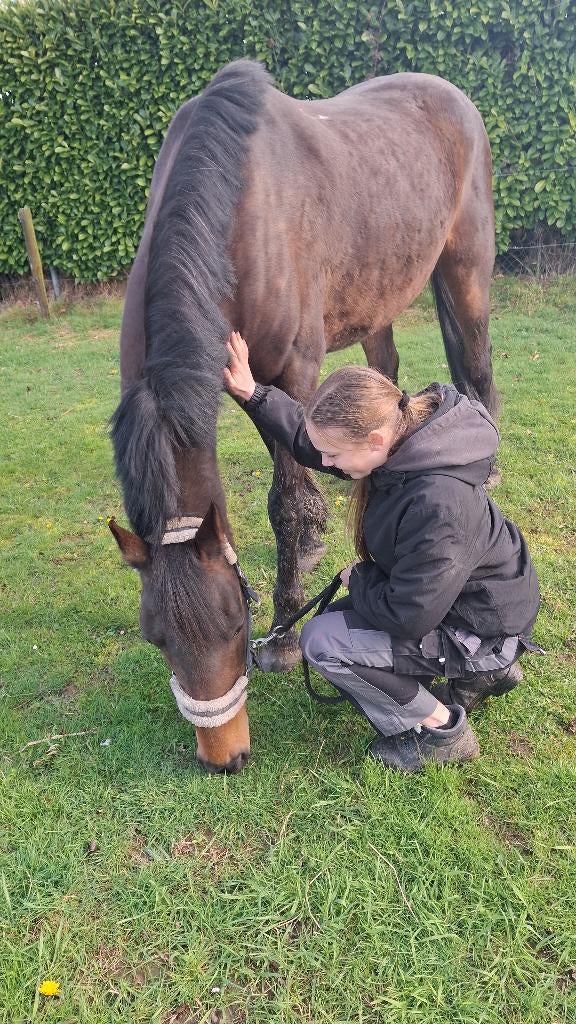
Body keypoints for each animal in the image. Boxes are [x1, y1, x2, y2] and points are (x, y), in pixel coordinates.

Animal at [110, 59, 497, 773]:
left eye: (237, 624)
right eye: (157, 638)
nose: (225, 757)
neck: (238, 210)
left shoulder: (291, 370)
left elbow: (288, 502)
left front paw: (287, 638)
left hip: (465, 275)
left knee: (479, 379)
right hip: (378, 303)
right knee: (389, 370)